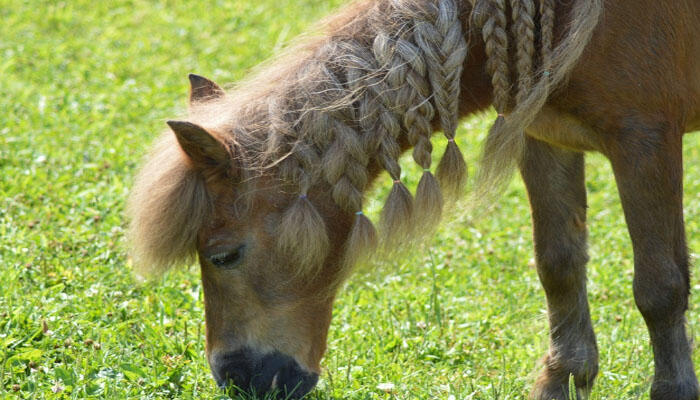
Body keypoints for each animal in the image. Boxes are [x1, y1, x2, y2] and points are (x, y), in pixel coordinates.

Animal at [127, 0, 700, 398]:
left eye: (223, 255)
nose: (237, 380)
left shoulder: (644, 141)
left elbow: (660, 286)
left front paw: (674, 390)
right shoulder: (543, 137)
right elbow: (559, 266)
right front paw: (560, 380)